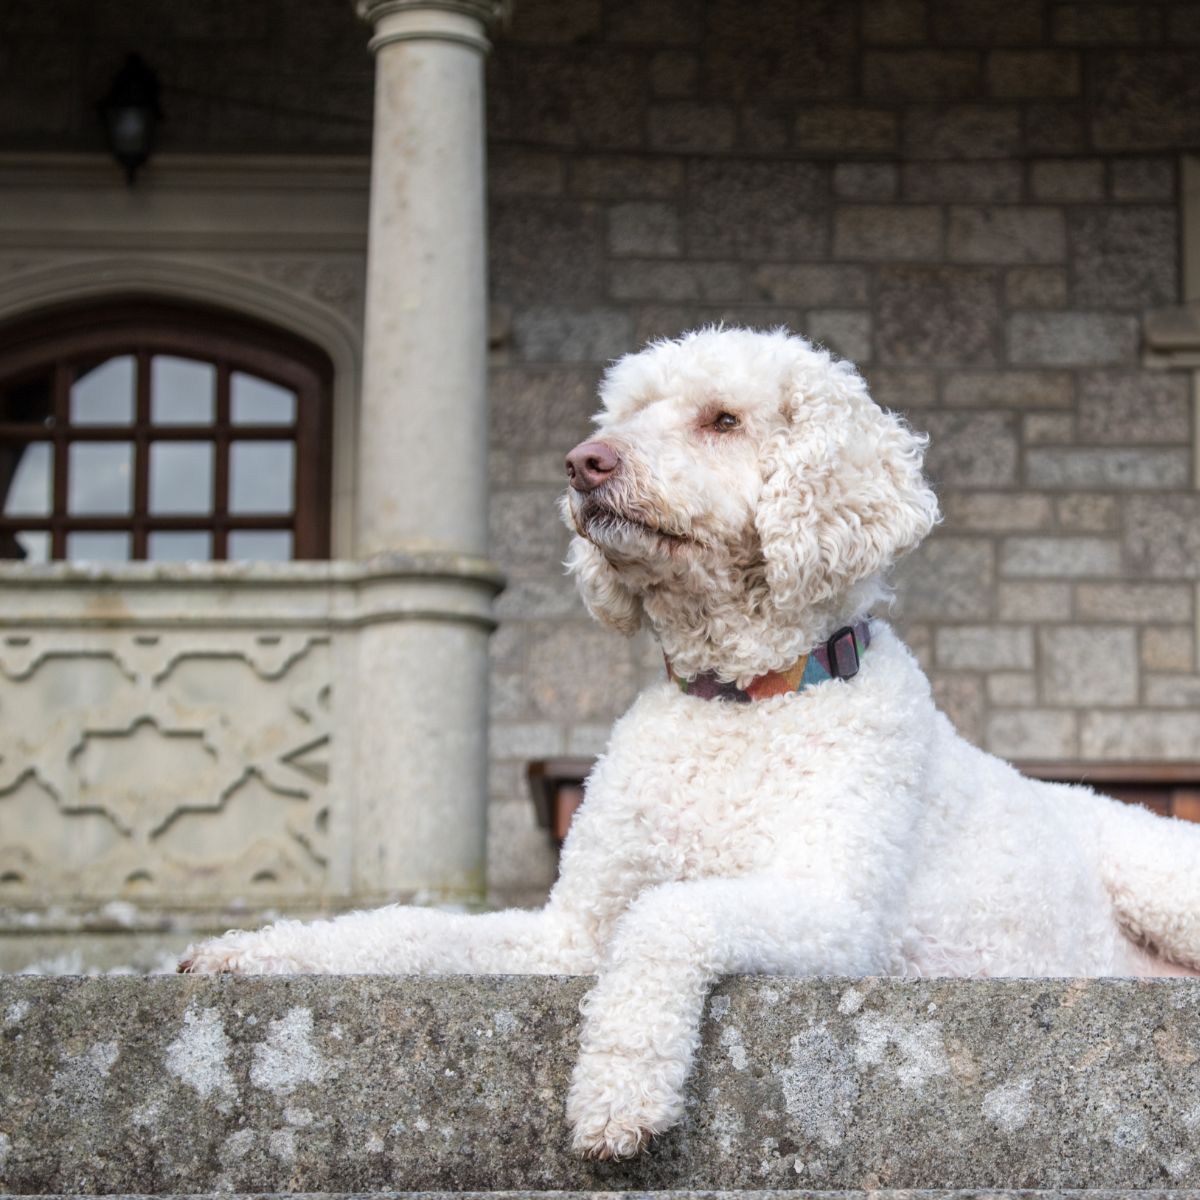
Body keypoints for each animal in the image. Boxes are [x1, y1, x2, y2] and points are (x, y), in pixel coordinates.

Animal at [180, 328, 1200, 1161]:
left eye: (723, 419)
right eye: (628, 413)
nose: (583, 462)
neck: (734, 704)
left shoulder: (835, 914)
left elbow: (670, 917)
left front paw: (617, 1091)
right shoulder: (565, 934)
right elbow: (409, 929)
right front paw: (258, 950)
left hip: (1160, 877)